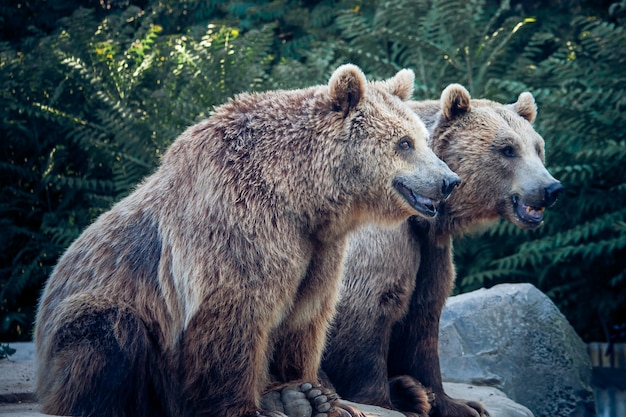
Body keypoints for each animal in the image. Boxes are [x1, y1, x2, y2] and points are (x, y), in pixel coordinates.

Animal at [33, 64, 458, 416]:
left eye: (423, 138)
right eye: (404, 143)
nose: (449, 180)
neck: (300, 196)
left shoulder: (318, 249)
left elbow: (305, 317)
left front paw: (317, 396)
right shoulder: (238, 228)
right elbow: (235, 318)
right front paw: (248, 407)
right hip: (99, 315)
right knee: (110, 334)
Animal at [320, 83, 564, 414]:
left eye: (538, 147)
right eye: (507, 149)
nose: (550, 188)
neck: (428, 218)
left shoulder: (430, 249)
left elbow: (424, 315)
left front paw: (462, 404)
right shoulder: (380, 240)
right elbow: (369, 304)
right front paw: (385, 401)